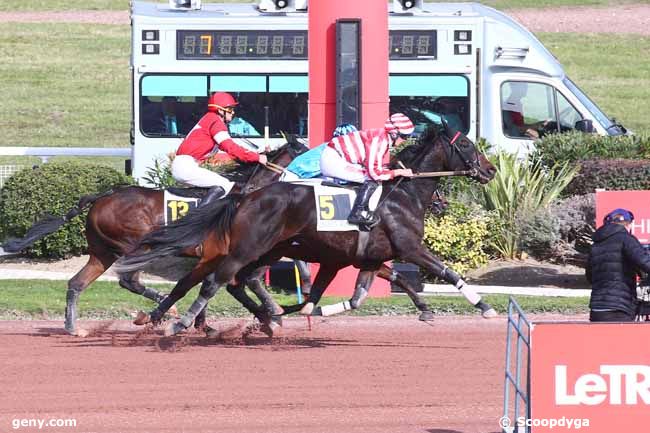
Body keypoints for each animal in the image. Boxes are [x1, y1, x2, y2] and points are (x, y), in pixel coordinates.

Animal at [116, 123, 496, 336]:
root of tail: (245, 196)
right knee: (215, 282)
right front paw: (484, 306)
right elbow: (447, 271)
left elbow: (355, 295)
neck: (402, 195)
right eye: (466, 146)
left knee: (214, 281)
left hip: (260, 251)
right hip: (246, 250)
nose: (490, 171)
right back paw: (181, 322)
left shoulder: (365, 259)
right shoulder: (408, 247)